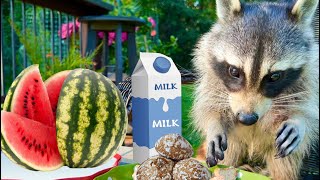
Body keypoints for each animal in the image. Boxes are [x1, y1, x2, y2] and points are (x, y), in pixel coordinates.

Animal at [191, 0, 318, 180]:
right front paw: (214, 125)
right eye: (234, 71)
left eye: (274, 76)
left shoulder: (309, 73)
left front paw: (298, 121)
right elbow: (209, 105)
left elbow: (308, 108)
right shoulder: (210, 72)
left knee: (284, 162)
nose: (247, 118)